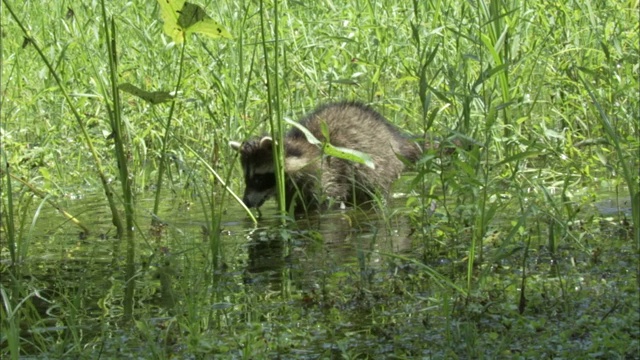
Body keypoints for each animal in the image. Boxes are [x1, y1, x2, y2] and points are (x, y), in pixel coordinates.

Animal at [229, 101, 420, 212]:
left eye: (259, 178)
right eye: (246, 178)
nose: (246, 202)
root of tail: (395, 139)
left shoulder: (326, 174)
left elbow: (327, 202)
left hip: (381, 165)